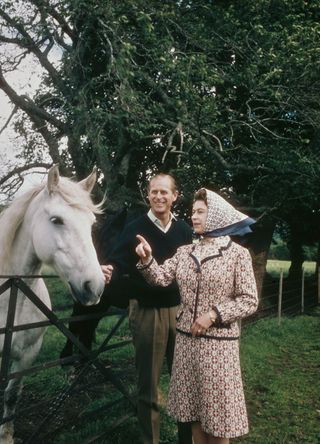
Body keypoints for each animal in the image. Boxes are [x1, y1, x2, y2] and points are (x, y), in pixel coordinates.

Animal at [0, 165, 105, 442]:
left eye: (91, 223)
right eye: (57, 220)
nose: (95, 286)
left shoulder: (28, 354)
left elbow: (12, 395)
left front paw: (6, 435)